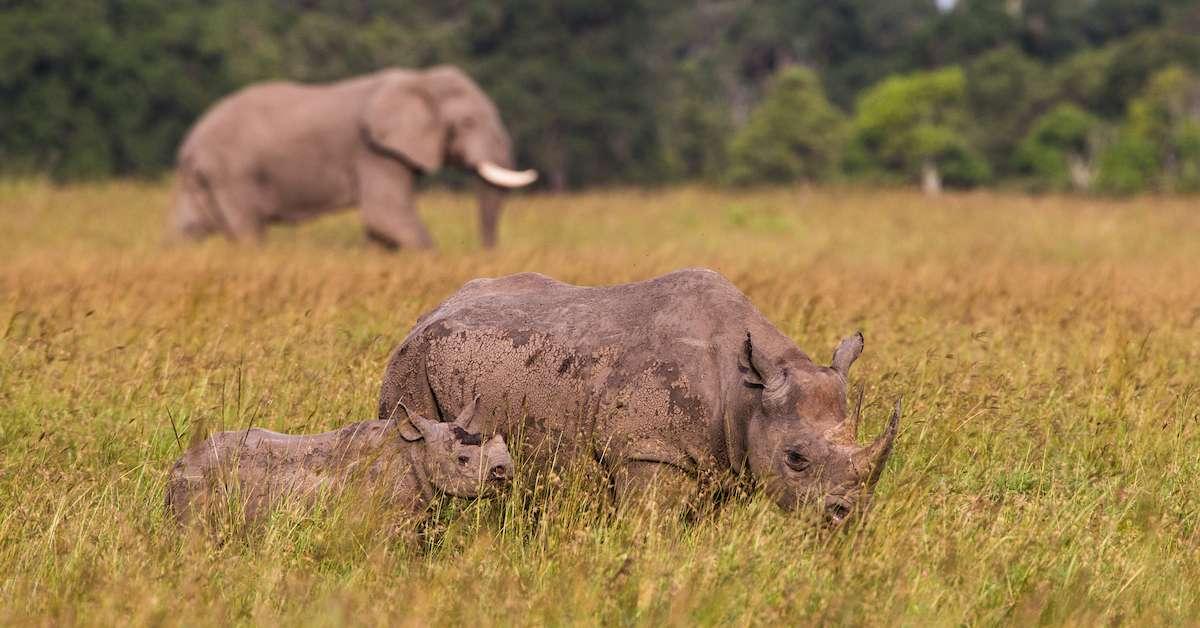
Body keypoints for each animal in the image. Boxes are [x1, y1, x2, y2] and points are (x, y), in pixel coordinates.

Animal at [171, 65, 537, 248]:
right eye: (468, 123)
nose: (487, 251)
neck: (420, 78)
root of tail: (190, 141)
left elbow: (382, 228)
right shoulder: (373, 150)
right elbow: (385, 215)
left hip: (205, 176)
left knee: (190, 226)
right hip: (233, 171)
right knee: (247, 229)